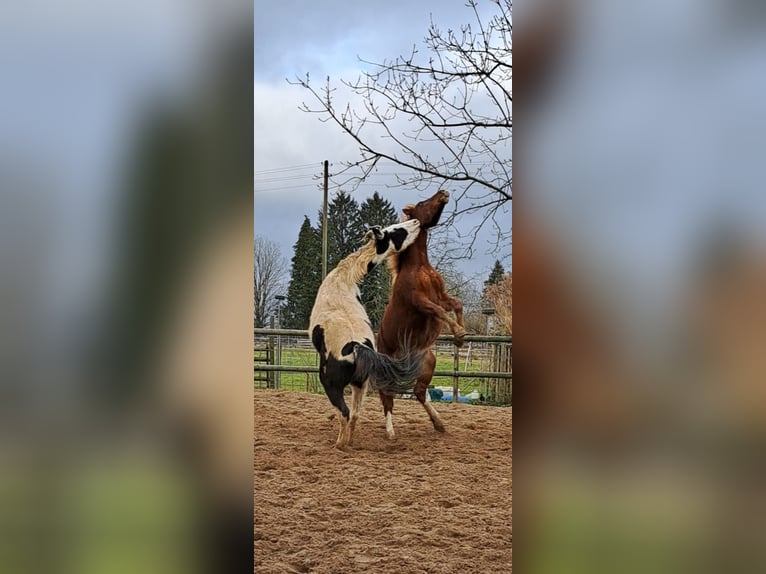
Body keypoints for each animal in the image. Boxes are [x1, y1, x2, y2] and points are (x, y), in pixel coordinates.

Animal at [309, 219, 426, 448]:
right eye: (396, 230)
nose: (416, 222)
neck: (343, 279)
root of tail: (357, 346)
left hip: (332, 384)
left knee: (344, 413)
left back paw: (340, 445)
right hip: (359, 385)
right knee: (355, 414)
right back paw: (349, 442)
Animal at [377, 189, 467, 439]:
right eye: (421, 203)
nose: (444, 192)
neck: (420, 268)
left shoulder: (441, 296)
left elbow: (456, 304)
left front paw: (460, 337)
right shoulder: (420, 302)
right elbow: (439, 311)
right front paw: (458, 332)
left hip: (428, 363)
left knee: (418, 391)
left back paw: (439, 423)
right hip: (390, 370)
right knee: (387, 396)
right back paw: (390, 432)